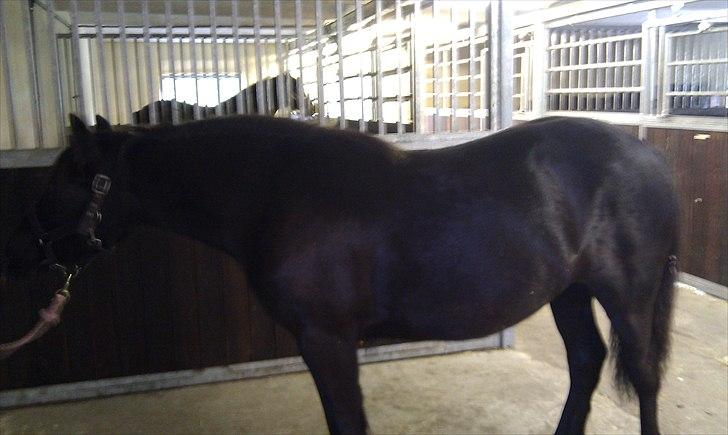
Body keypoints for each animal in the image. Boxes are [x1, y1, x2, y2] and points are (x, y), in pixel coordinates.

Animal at [2, 114, 679, 435]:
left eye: (60, 181)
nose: (17, 252)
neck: (278, 193)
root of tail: (646, 154)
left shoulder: (327, 342)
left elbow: (349, 422)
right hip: (570, 292)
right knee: (587, 363)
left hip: (628, 295)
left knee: (644, 377)